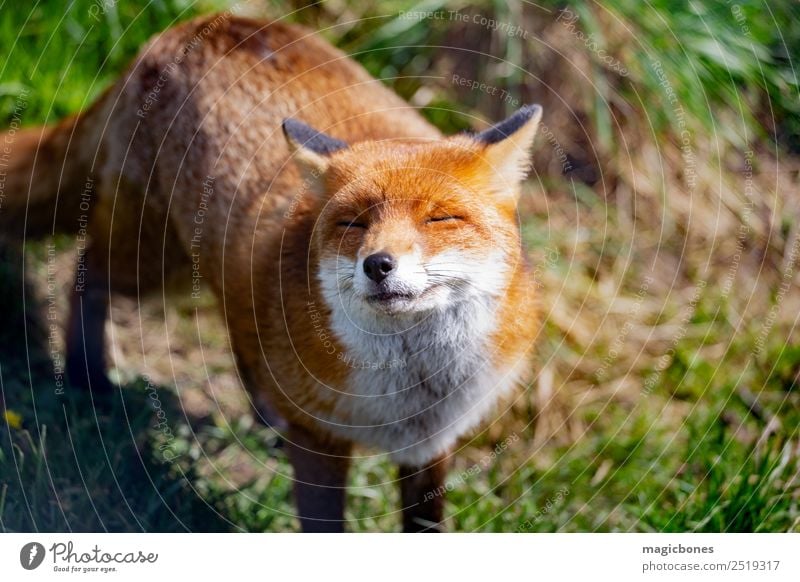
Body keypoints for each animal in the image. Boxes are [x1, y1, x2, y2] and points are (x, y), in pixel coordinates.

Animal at [1, 13, 544, 532]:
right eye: (352, 223)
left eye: (440, 219)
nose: (378, 264)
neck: (412, 389)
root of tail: (194, 27)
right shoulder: (321, 437)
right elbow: (326, 528)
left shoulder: (430, 443)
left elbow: (425, 524)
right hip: (153, 263)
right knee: (85, 269)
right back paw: (86, 377)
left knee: (238, 333)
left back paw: (264, 419)